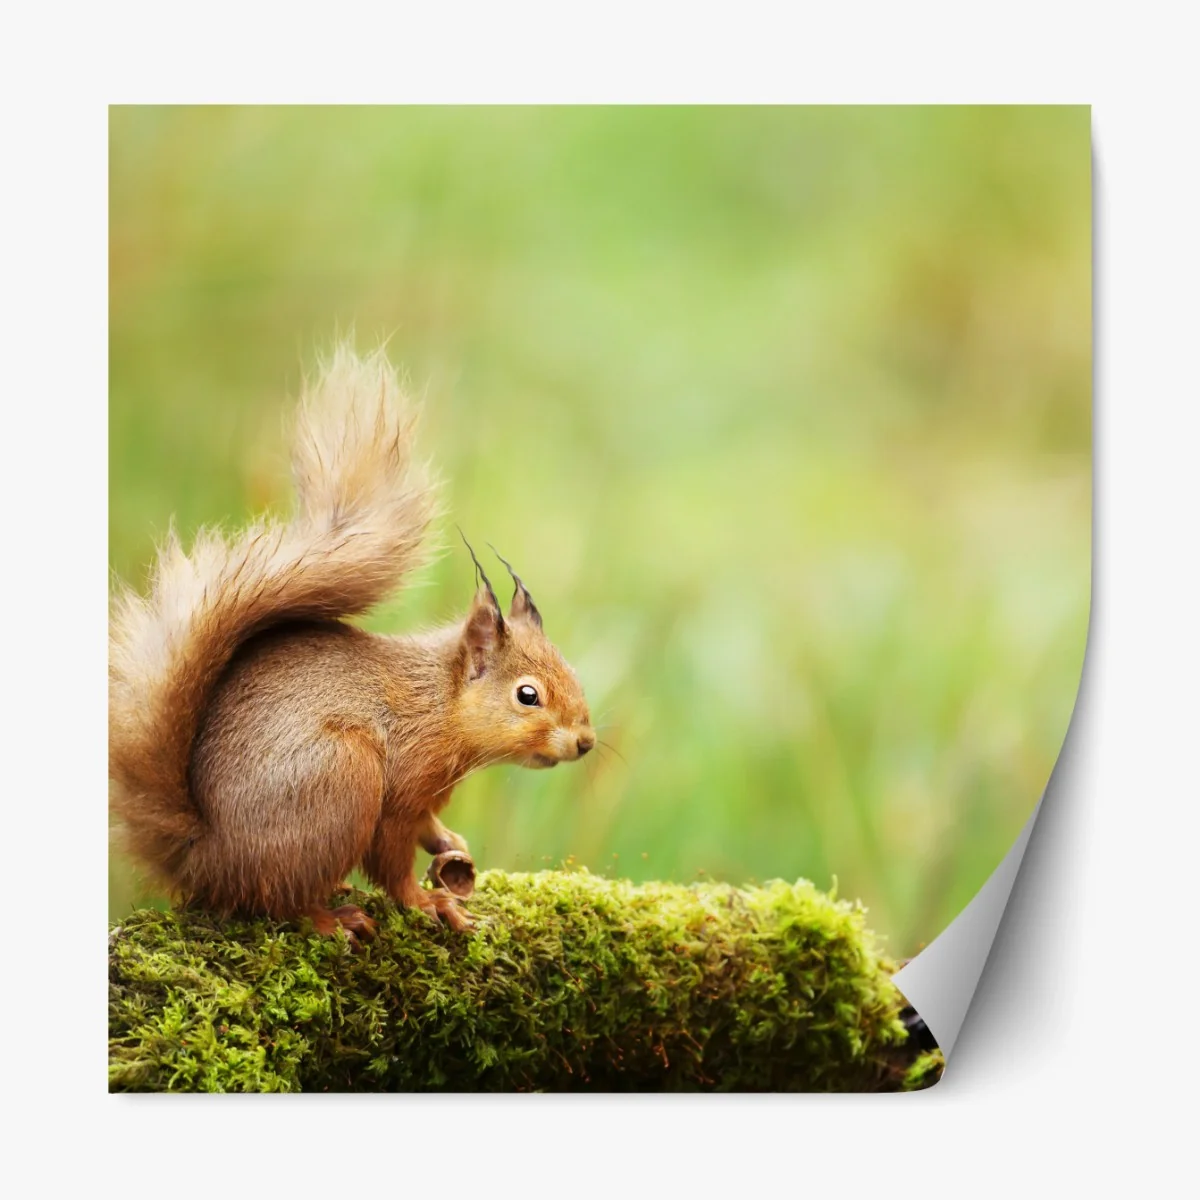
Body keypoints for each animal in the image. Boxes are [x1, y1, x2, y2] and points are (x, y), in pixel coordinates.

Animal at [109, 344, 594, 944]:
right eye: (528, 695)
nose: (586, 742)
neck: (439, 705)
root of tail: (205, 858)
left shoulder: (425, 797)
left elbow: (428, 828)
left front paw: (451, 845)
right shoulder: (400, 790)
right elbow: (391, 860)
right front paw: (428, 902)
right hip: (343, 779)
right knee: (276, 900)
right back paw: (331, 917)